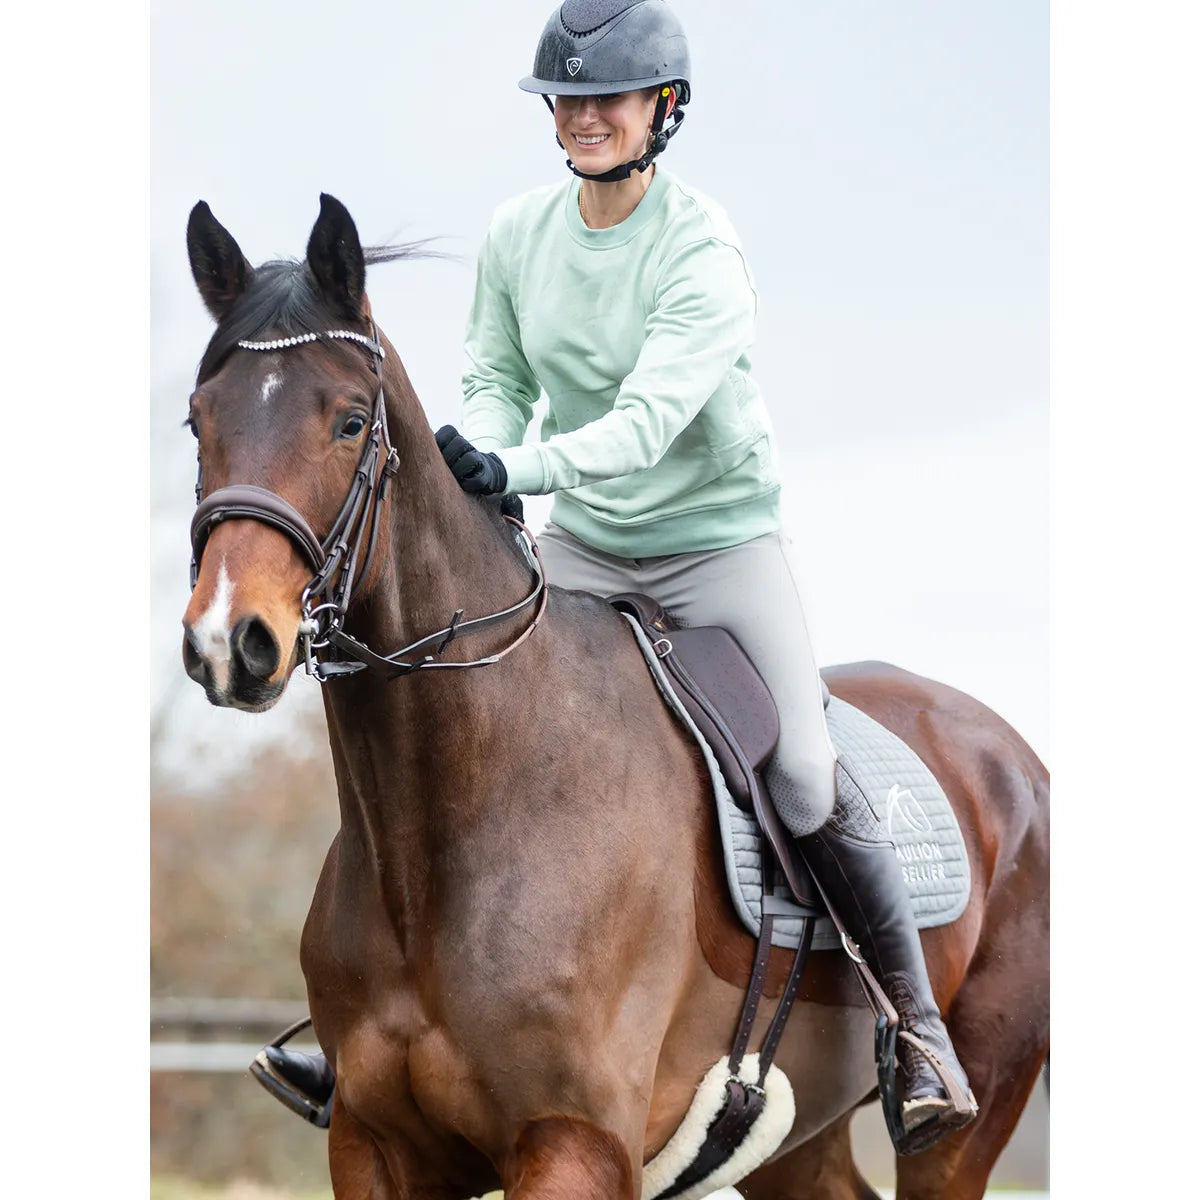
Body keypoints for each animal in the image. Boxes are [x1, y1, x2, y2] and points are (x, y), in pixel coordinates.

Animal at [180, 193, 1049, 1200]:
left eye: (351, 422)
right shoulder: (372, 1146)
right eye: (198, 421)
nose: (230, 641)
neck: (448, 821)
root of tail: (1012, 753)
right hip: (800, 1138)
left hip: (966, 1116)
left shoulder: (575, 1145)